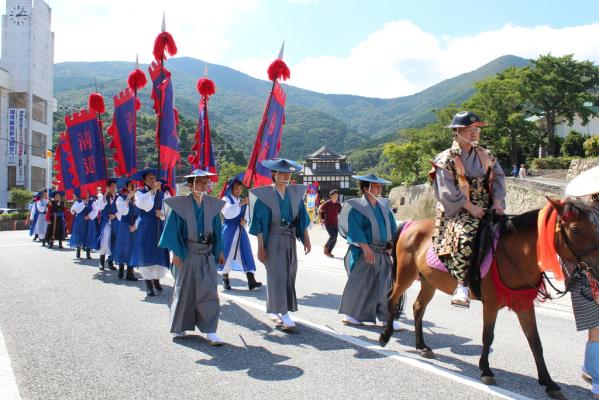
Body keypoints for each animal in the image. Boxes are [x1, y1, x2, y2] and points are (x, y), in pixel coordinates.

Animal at [382, 198, 599, 398]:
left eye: (594, 227)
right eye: (575, 230)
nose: (596, 267)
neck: (513, 254)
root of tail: (411, 224)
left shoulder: (524, 304)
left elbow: (535, 342)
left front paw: (549, 382)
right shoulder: (491, 304)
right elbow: (488, 335)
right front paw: (486, 370)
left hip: (428, 282)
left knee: (418, 308)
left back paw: (422, 346)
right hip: (406, 275)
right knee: (391, 300)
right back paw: (385, 335)